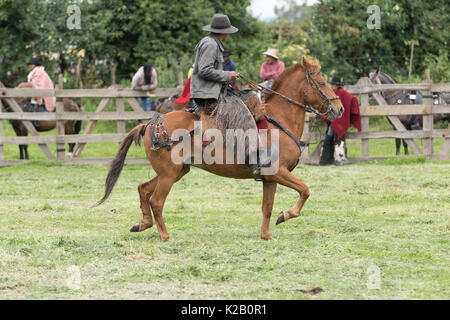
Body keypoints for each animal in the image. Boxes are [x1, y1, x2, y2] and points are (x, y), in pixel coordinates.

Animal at [98, 58, 342, 241]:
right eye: (321, 83)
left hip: (176, 171)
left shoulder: (270, 179)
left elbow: (267, 207)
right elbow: (305, 190)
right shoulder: (279, 172)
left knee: (143, 189)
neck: (279, 121)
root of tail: (151, 124)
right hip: (168, 174)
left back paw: (142, 224)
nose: (338, 108)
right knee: (156, 201)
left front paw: (266, 235)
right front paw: (287, 214)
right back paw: (165, 236)